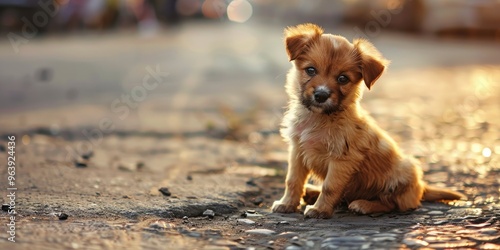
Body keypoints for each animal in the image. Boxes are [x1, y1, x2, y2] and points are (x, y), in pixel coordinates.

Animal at [270, 23, 464, 219]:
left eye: (342, 78)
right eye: (311, 70)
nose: (321, 95)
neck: (319, 118)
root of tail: (421, 188)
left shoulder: (342, 159)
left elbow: (330, 187)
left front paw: (320, 209)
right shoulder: (298, 151)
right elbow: (292, 181)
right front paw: (287, 204)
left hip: (402, 174)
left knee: (391, 204)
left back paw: (363, 205)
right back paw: (312, 192)